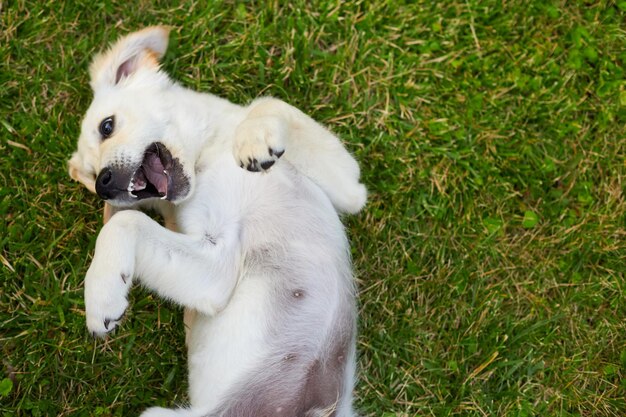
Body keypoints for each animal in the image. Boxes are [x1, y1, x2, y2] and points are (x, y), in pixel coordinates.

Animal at [69, 26, 366, 416]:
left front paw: (253, 138)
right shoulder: (218, 267)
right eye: (91, 175)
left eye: (107, 126)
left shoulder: (351, 187)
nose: (103, 185)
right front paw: (101, 294)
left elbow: (268, 102)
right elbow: (123, 223)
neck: (207, 155)